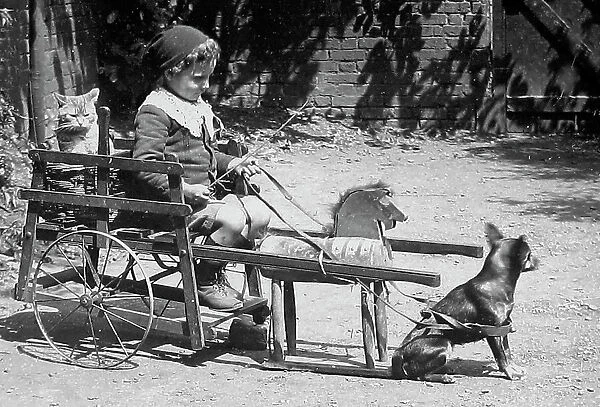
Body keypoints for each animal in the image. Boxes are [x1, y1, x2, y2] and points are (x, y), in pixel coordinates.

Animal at [392, 225, 536, 384]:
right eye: (529, 255)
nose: (537, 260)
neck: (496, 281)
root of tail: (398, 354)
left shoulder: (503, 328)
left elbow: (508, 352)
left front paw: (515, 368)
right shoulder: (493, 332)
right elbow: (501, 356)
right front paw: (510, 373)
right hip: (444, 345)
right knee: (419, 375)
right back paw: (444, 377)